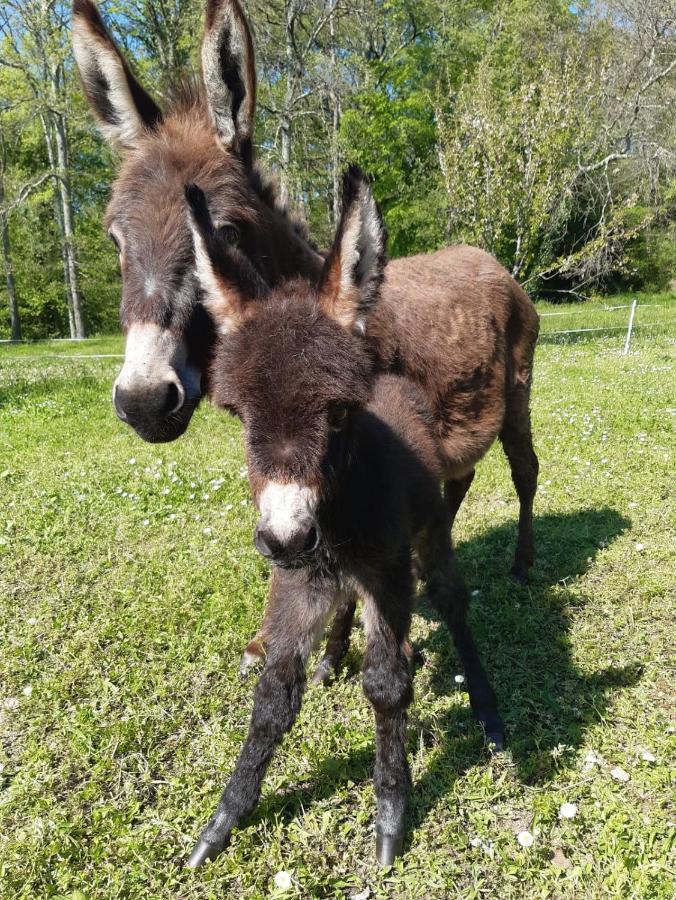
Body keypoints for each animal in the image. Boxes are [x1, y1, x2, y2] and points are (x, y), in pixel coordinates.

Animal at [185, 167, 502, 864]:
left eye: (336, 413)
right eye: (239, 415)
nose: (285, 538)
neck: (334, 525)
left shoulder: (387, 571)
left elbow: (386, 685)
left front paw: (390, 813)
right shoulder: (295, 582)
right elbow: (273, 697)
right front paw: (223, 821)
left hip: (429, 539)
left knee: (453, 600)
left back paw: (488, 710)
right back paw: (333, 655)